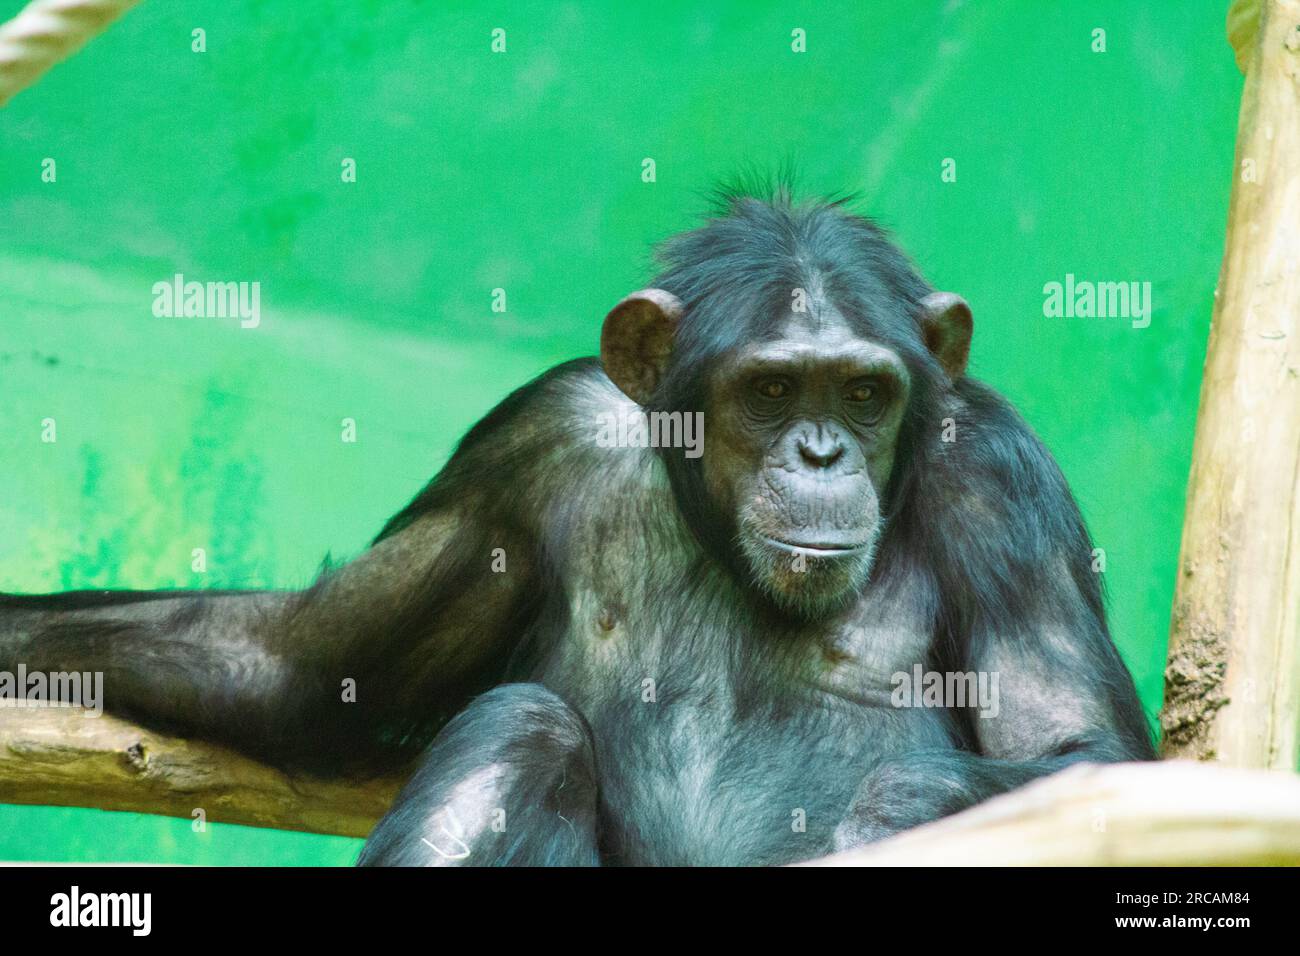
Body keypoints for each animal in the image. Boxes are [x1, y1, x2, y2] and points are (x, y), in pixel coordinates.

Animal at [0, 183, 1159, 863]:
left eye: (866, 393)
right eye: (772, 391)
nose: (822, 453)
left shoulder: (1000, 481)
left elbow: (1080, 752)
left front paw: (892, 812)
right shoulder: (522, 455)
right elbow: (297, 666)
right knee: (524, 728)